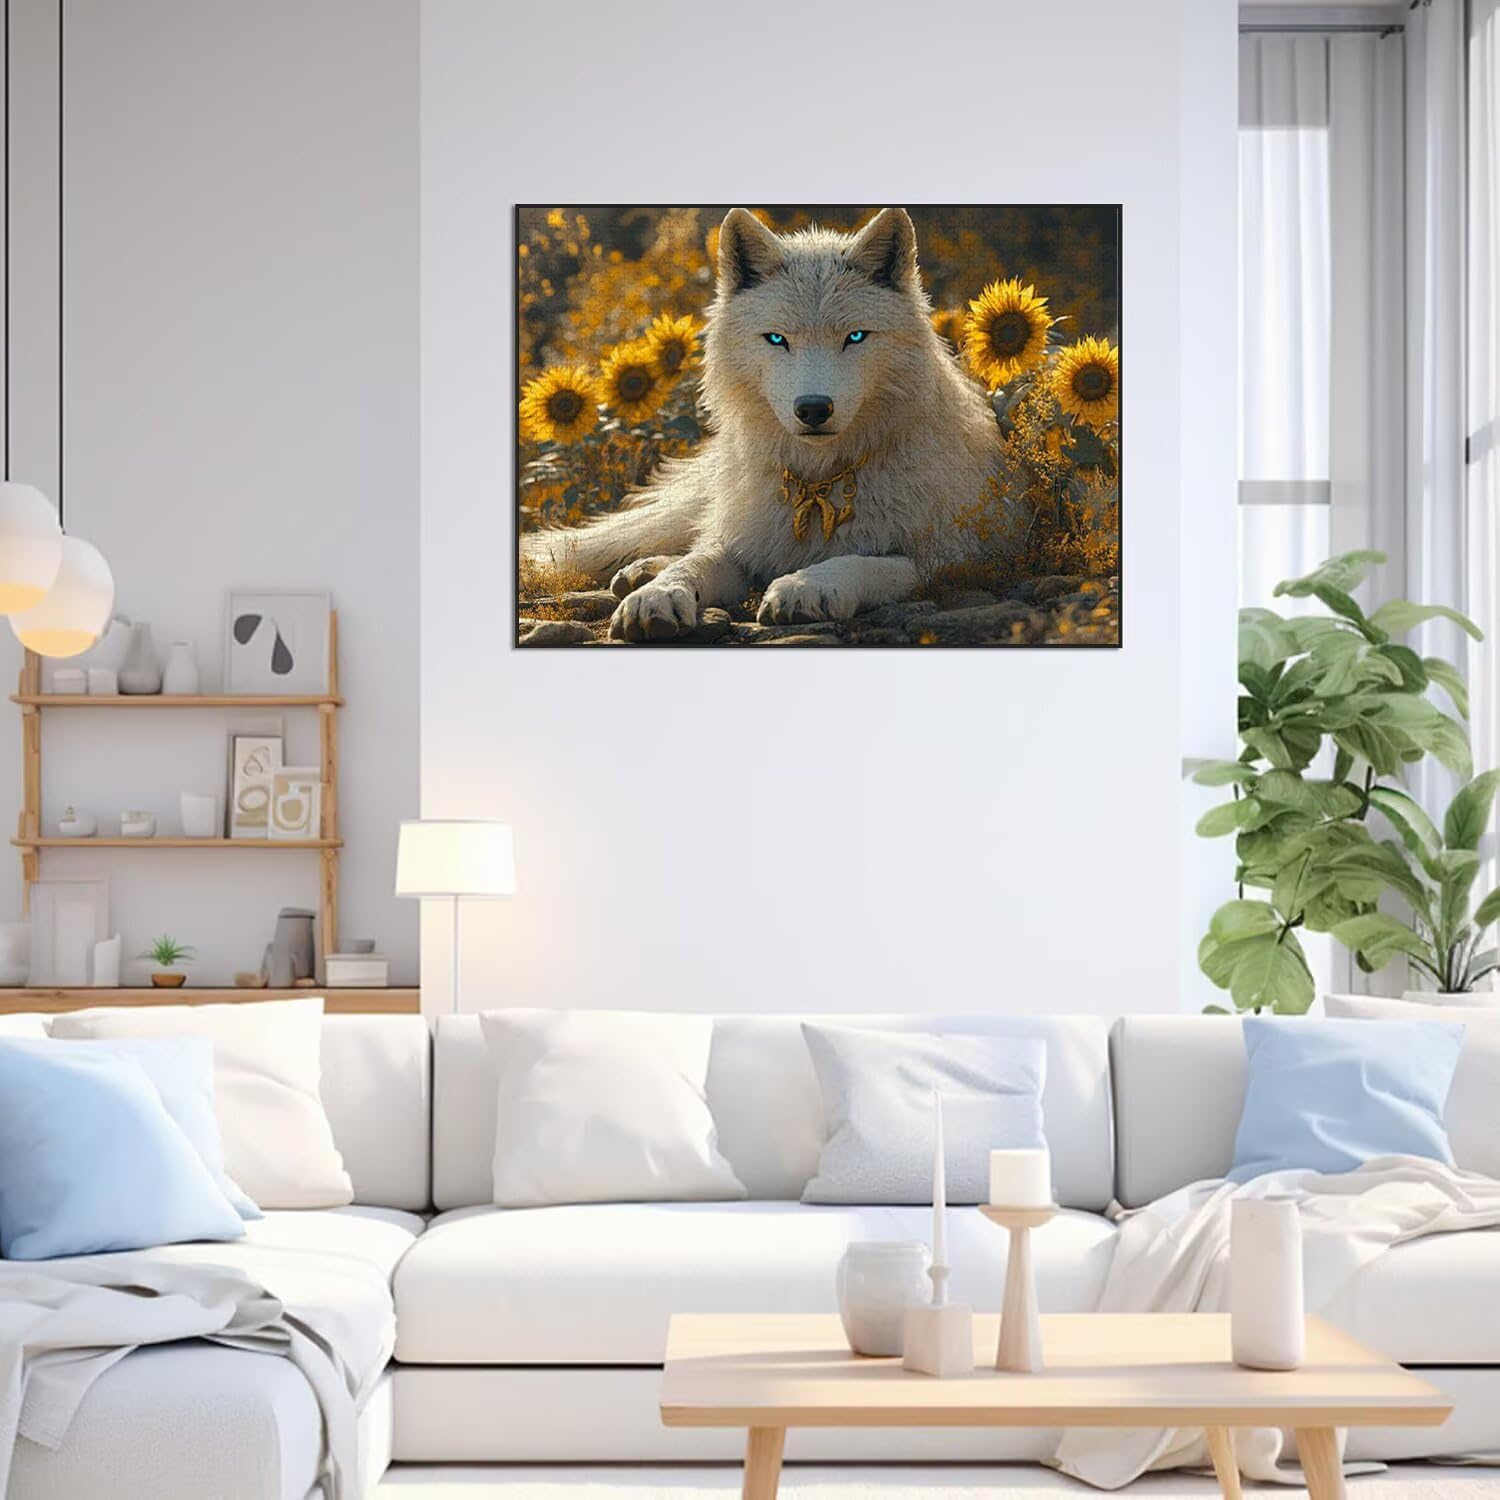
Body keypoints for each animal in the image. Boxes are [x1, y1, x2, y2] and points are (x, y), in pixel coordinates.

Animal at [522, 206, 1006, 641]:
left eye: (854, 337)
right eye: (777, 339)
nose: (813, 409)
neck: (818, 484)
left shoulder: (947, 559)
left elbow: (864, 562)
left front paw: (805, 586)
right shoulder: (741, 545)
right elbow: (694, 563)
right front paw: (657, 596)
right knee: (679, 536)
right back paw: (640, 574)